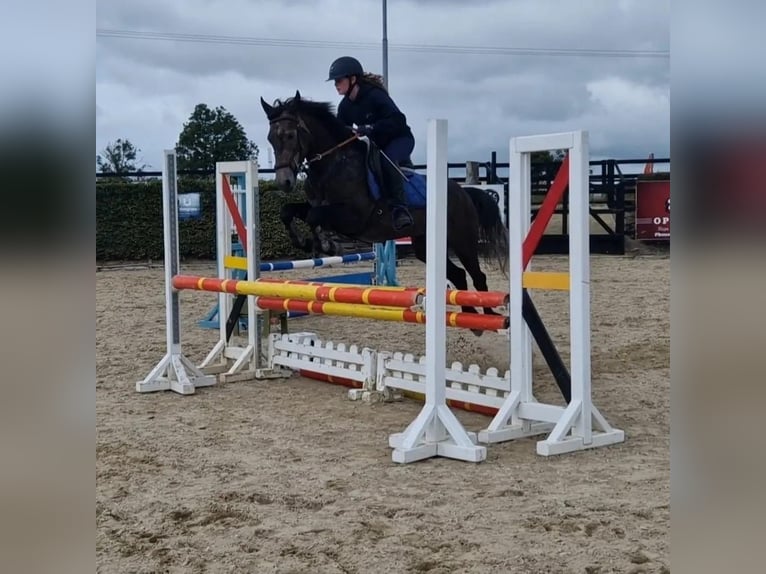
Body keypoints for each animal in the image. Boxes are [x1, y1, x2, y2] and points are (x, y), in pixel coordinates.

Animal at [262, 89, 510, 332]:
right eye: (270, 139)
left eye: (290, 135)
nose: (284, 182)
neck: (333, 164)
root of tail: (464, 192)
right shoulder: (317, 206)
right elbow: (288, 211)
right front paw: (304, 242)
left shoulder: (353, 217)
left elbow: (315, 218)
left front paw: (325, 244)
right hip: (425, 246)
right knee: (458, 274)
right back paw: (470, 315)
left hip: (462, 241)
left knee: (478, 275)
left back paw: (489, 316)